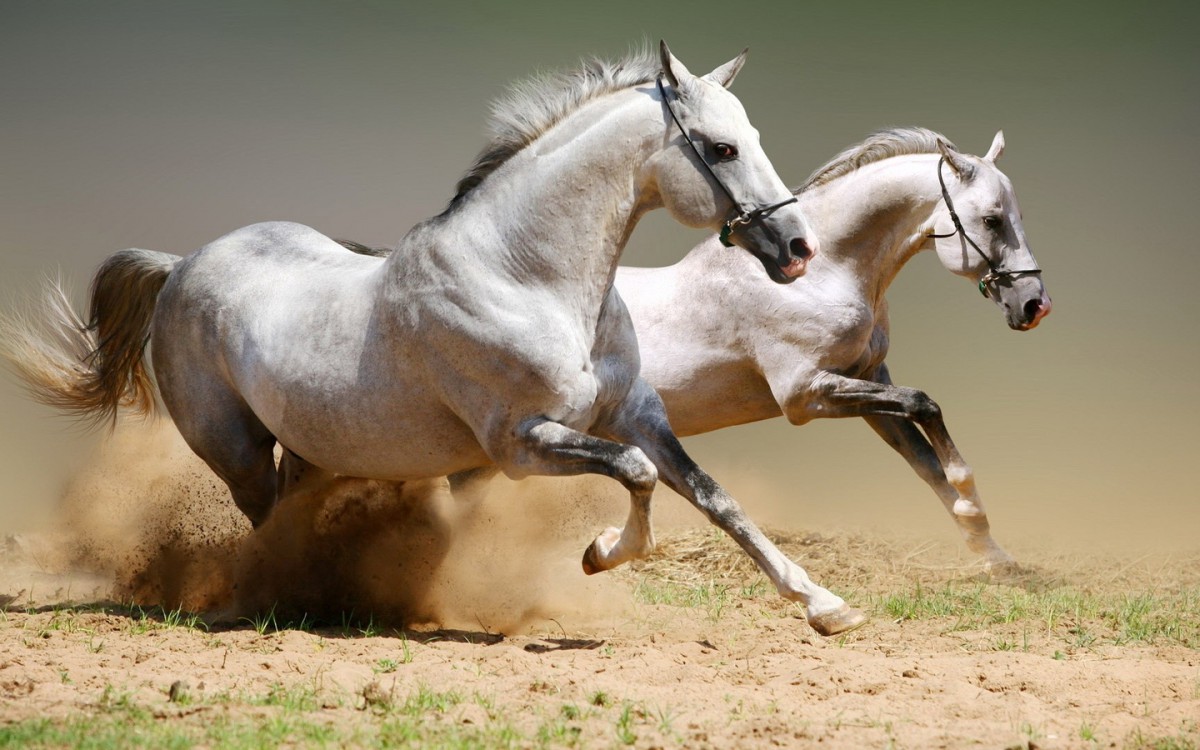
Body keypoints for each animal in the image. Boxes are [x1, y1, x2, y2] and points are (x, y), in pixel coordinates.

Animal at [1, 43, 870, 636]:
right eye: (721, 147)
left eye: (749, 134)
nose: (797, 248)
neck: (526, 276)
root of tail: (181, 265)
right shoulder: (520, 445)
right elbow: (637, 477)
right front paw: (599, 553)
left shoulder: (636, 415)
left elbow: (714, 497)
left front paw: (825, 605)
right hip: (235, 449)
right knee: (264, 523)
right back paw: (283, 598)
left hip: (313, 449)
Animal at [617, 127, 1052, 571]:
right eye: (992, 220)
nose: (1035, 305)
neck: (820, 275)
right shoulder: (804, 394)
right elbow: (924, 404)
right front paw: (970, 502)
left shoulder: (867, 381)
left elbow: (926, 461)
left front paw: (993, 553)